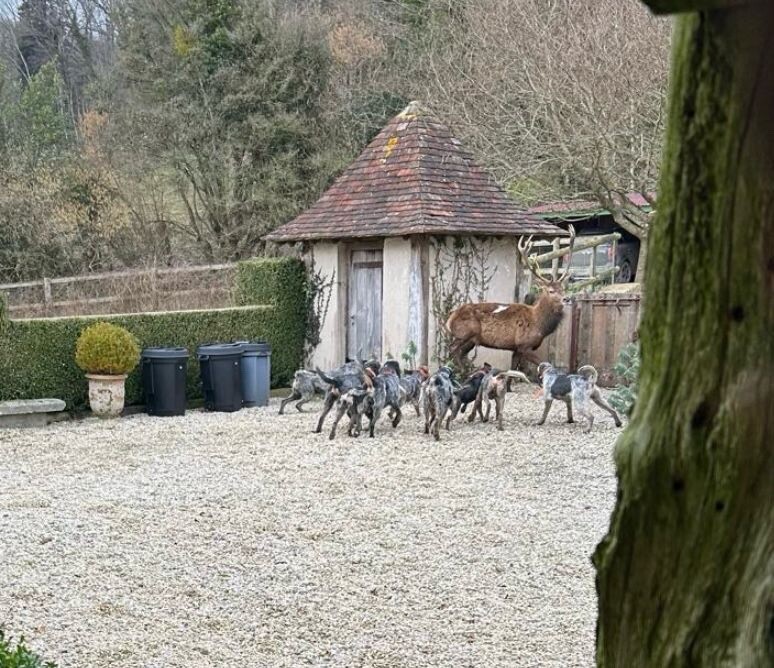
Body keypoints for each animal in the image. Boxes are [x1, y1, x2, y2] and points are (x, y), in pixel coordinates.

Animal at [445, 227, 576, 370]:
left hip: (472, 340)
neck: (540, 325)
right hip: (465, 332)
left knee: (461, 352)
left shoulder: (516, 349)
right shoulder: (524, 345)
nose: (567, 299)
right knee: (452, 349)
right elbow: (545, 364)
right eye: (551, 291)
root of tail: (449, 320)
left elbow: (514, 369)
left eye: (563, 289)